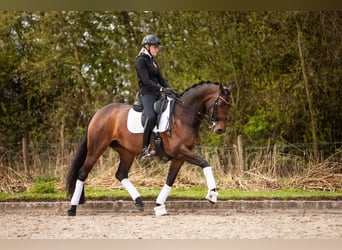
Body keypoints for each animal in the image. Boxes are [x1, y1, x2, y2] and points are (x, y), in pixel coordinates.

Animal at [66, 81, 232, 216]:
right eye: (221, 104)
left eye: (229, 105)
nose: (220, 129)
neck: (182, 115)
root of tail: (99, 112)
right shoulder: (181, 151)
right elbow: (205, 163)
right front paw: (212, 195)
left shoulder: (179, 156)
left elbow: (170, 179)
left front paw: (159, 206)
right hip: (96, 148)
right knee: (82, 173)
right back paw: (72, 208)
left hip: (126, 152)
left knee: (121, 174)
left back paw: (139, 201)